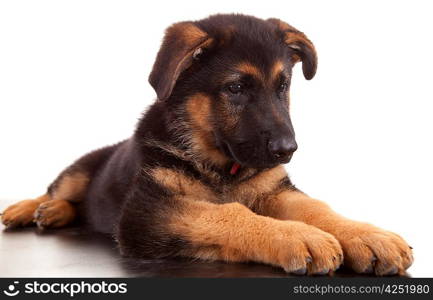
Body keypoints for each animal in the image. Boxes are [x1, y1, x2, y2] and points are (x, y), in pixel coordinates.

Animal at [0, 14, 412, 276]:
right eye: (236, 88)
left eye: (283, 85)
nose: (287, 150)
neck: (219, 164)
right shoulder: (149, 210)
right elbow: (229, 213)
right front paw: (299, 236)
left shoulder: (275, 190)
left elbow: (315, 207)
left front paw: (366, 234)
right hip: (81, 170)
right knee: (57, 190)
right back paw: (31, 209)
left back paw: (54, 213)